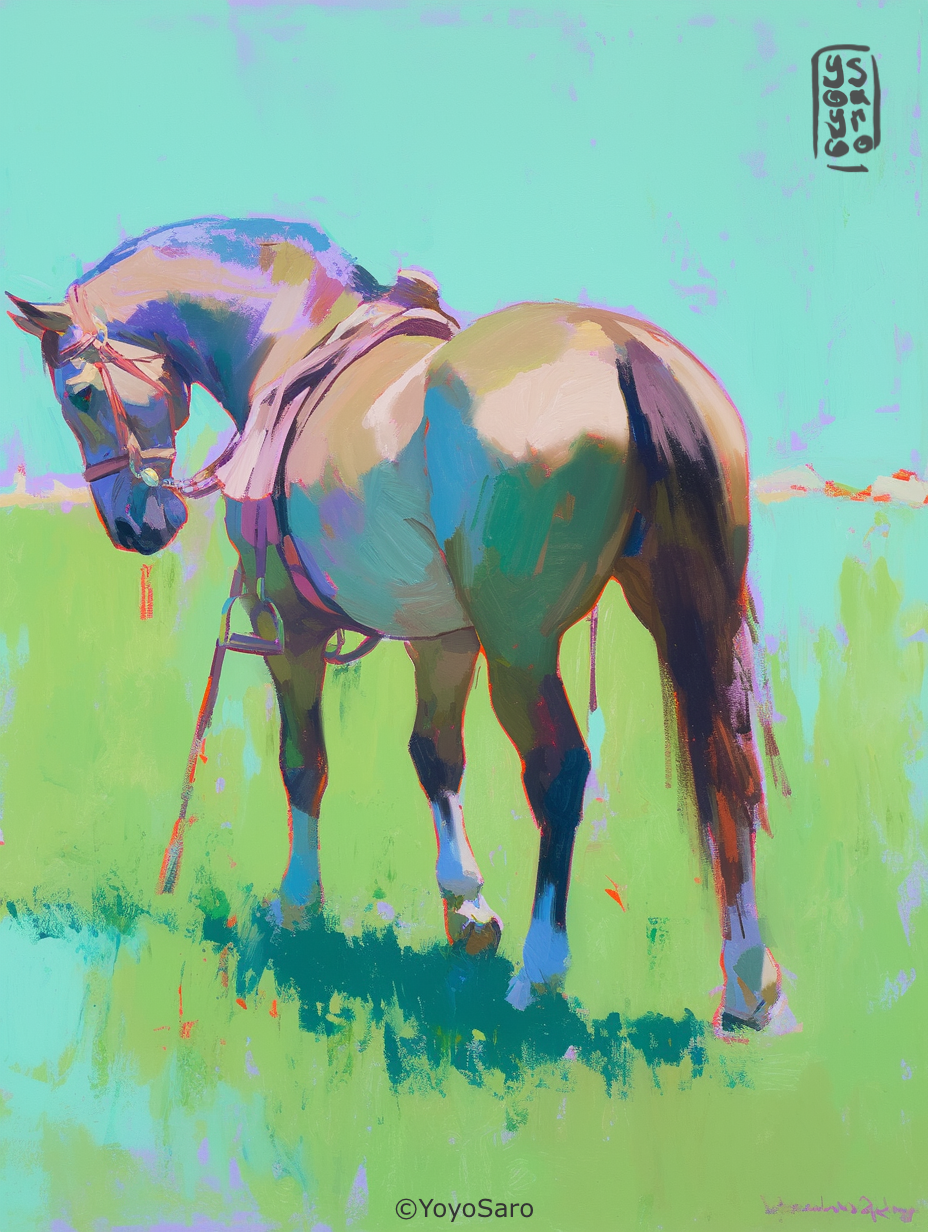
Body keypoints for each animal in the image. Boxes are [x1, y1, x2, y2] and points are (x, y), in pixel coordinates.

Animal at [8, 215, 784, 1029]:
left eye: (79, 392)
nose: (134, 526)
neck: (294, 343)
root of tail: (620, 347)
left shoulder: (290, 628)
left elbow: (304, 762)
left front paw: (298, 906)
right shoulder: (442, 639)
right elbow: (435, 756)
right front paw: (467, 911)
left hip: (522, 648)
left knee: (559, 770)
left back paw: (541, 973)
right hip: (689, 612)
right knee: (730, 757)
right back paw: (747, 984)